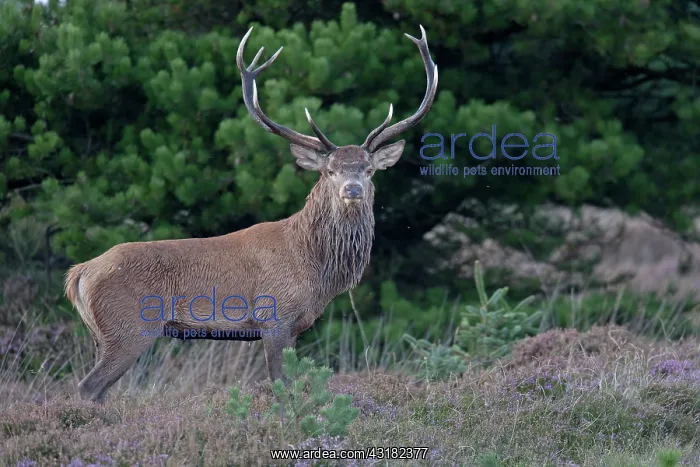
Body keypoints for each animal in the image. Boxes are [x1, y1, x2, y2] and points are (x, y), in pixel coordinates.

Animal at [64, 25, 438, 403]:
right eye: (330, 171)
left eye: (369, 170)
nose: (352, 190)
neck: (315, 267)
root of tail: (79, 273)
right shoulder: (274, 317)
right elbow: (281, 387)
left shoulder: (293, 328)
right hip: (128, 327)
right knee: (87, 386)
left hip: (104, 335)